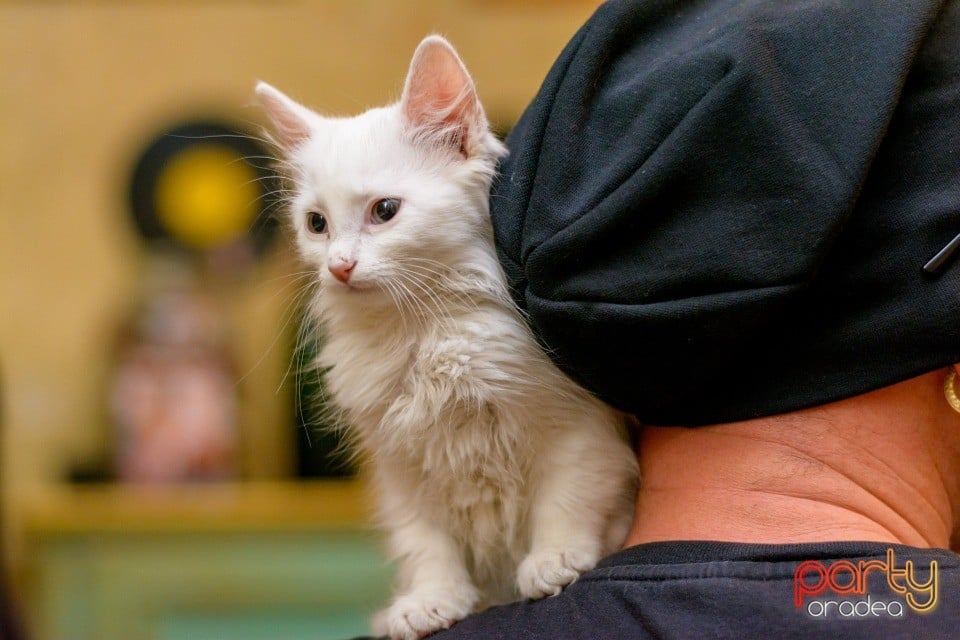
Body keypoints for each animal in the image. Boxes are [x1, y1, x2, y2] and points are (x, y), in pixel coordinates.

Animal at [258, 36, 640, 640]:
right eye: (316, 224)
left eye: (384, 211)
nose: (339, 266)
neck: (423, 333)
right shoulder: (400, 468)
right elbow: (424, 542)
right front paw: (429, 600)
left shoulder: (578, 429)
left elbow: (568, 499)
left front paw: (554, 559)